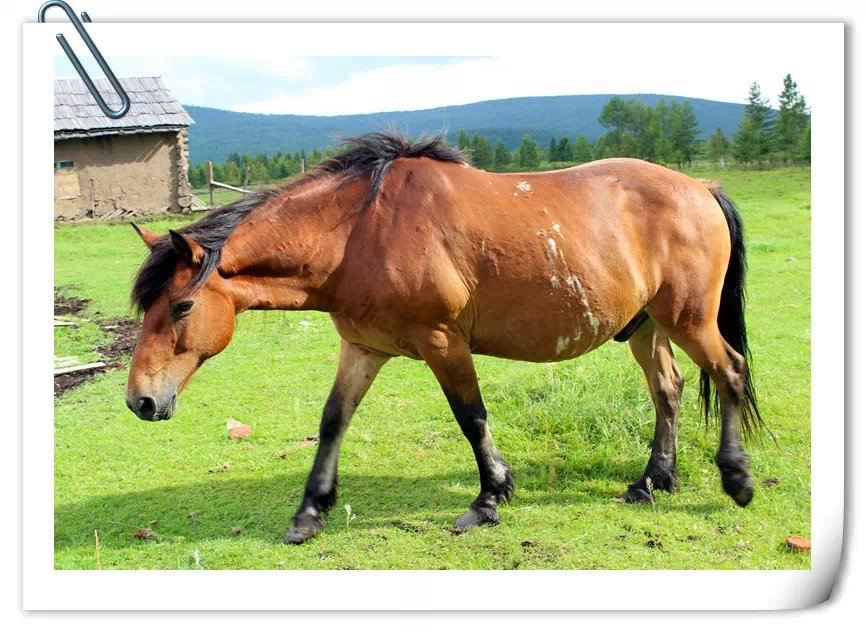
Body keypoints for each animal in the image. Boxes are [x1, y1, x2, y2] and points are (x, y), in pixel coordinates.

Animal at [125, 130, 760, 544]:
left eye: (181, 306)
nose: (141, 402)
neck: (359, 232)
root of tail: (700, 186)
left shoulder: (442, 343)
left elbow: (471, 418)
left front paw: (489, 498)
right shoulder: (363, 349)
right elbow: (332, 421)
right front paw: (310, 511)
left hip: (688, 320)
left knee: (729, 372)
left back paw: (736, 478)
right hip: (647, 327)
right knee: (669, 389)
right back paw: (653, 481)